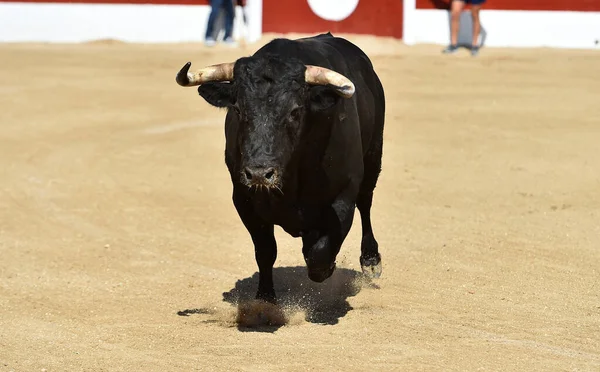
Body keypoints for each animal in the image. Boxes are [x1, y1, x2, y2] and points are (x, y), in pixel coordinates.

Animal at [176, 32, 386, 302]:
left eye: (295, 111)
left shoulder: (343, 198)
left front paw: (327, 267)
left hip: (374, 155)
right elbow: (265, 251)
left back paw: (371, 261)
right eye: (238, 109)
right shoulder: (244, 200)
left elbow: (320, 254)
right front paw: (264, 299)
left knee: (366, 202)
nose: (258, 173)